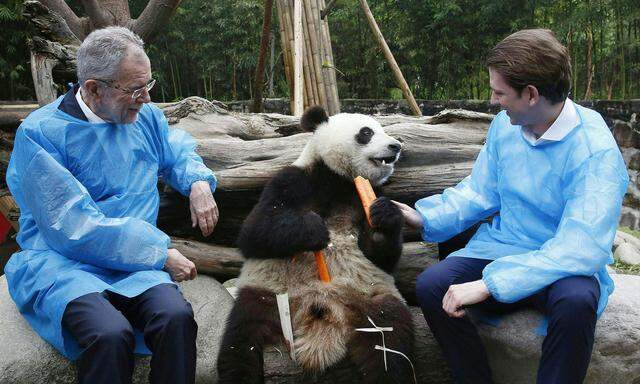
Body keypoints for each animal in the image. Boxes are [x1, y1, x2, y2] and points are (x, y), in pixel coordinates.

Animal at [218, 106, 412, 384]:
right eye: (366, 132)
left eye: (382, 129)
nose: (395, 146)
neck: (339, 180)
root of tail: (322, 312)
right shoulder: (293, 180)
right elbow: (254, 231)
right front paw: (314, 230)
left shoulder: (366, 195)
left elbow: (382, 256)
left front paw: (384, 216)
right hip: (268, 296)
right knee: (241, 341)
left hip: (372, 299)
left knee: (391, 339)